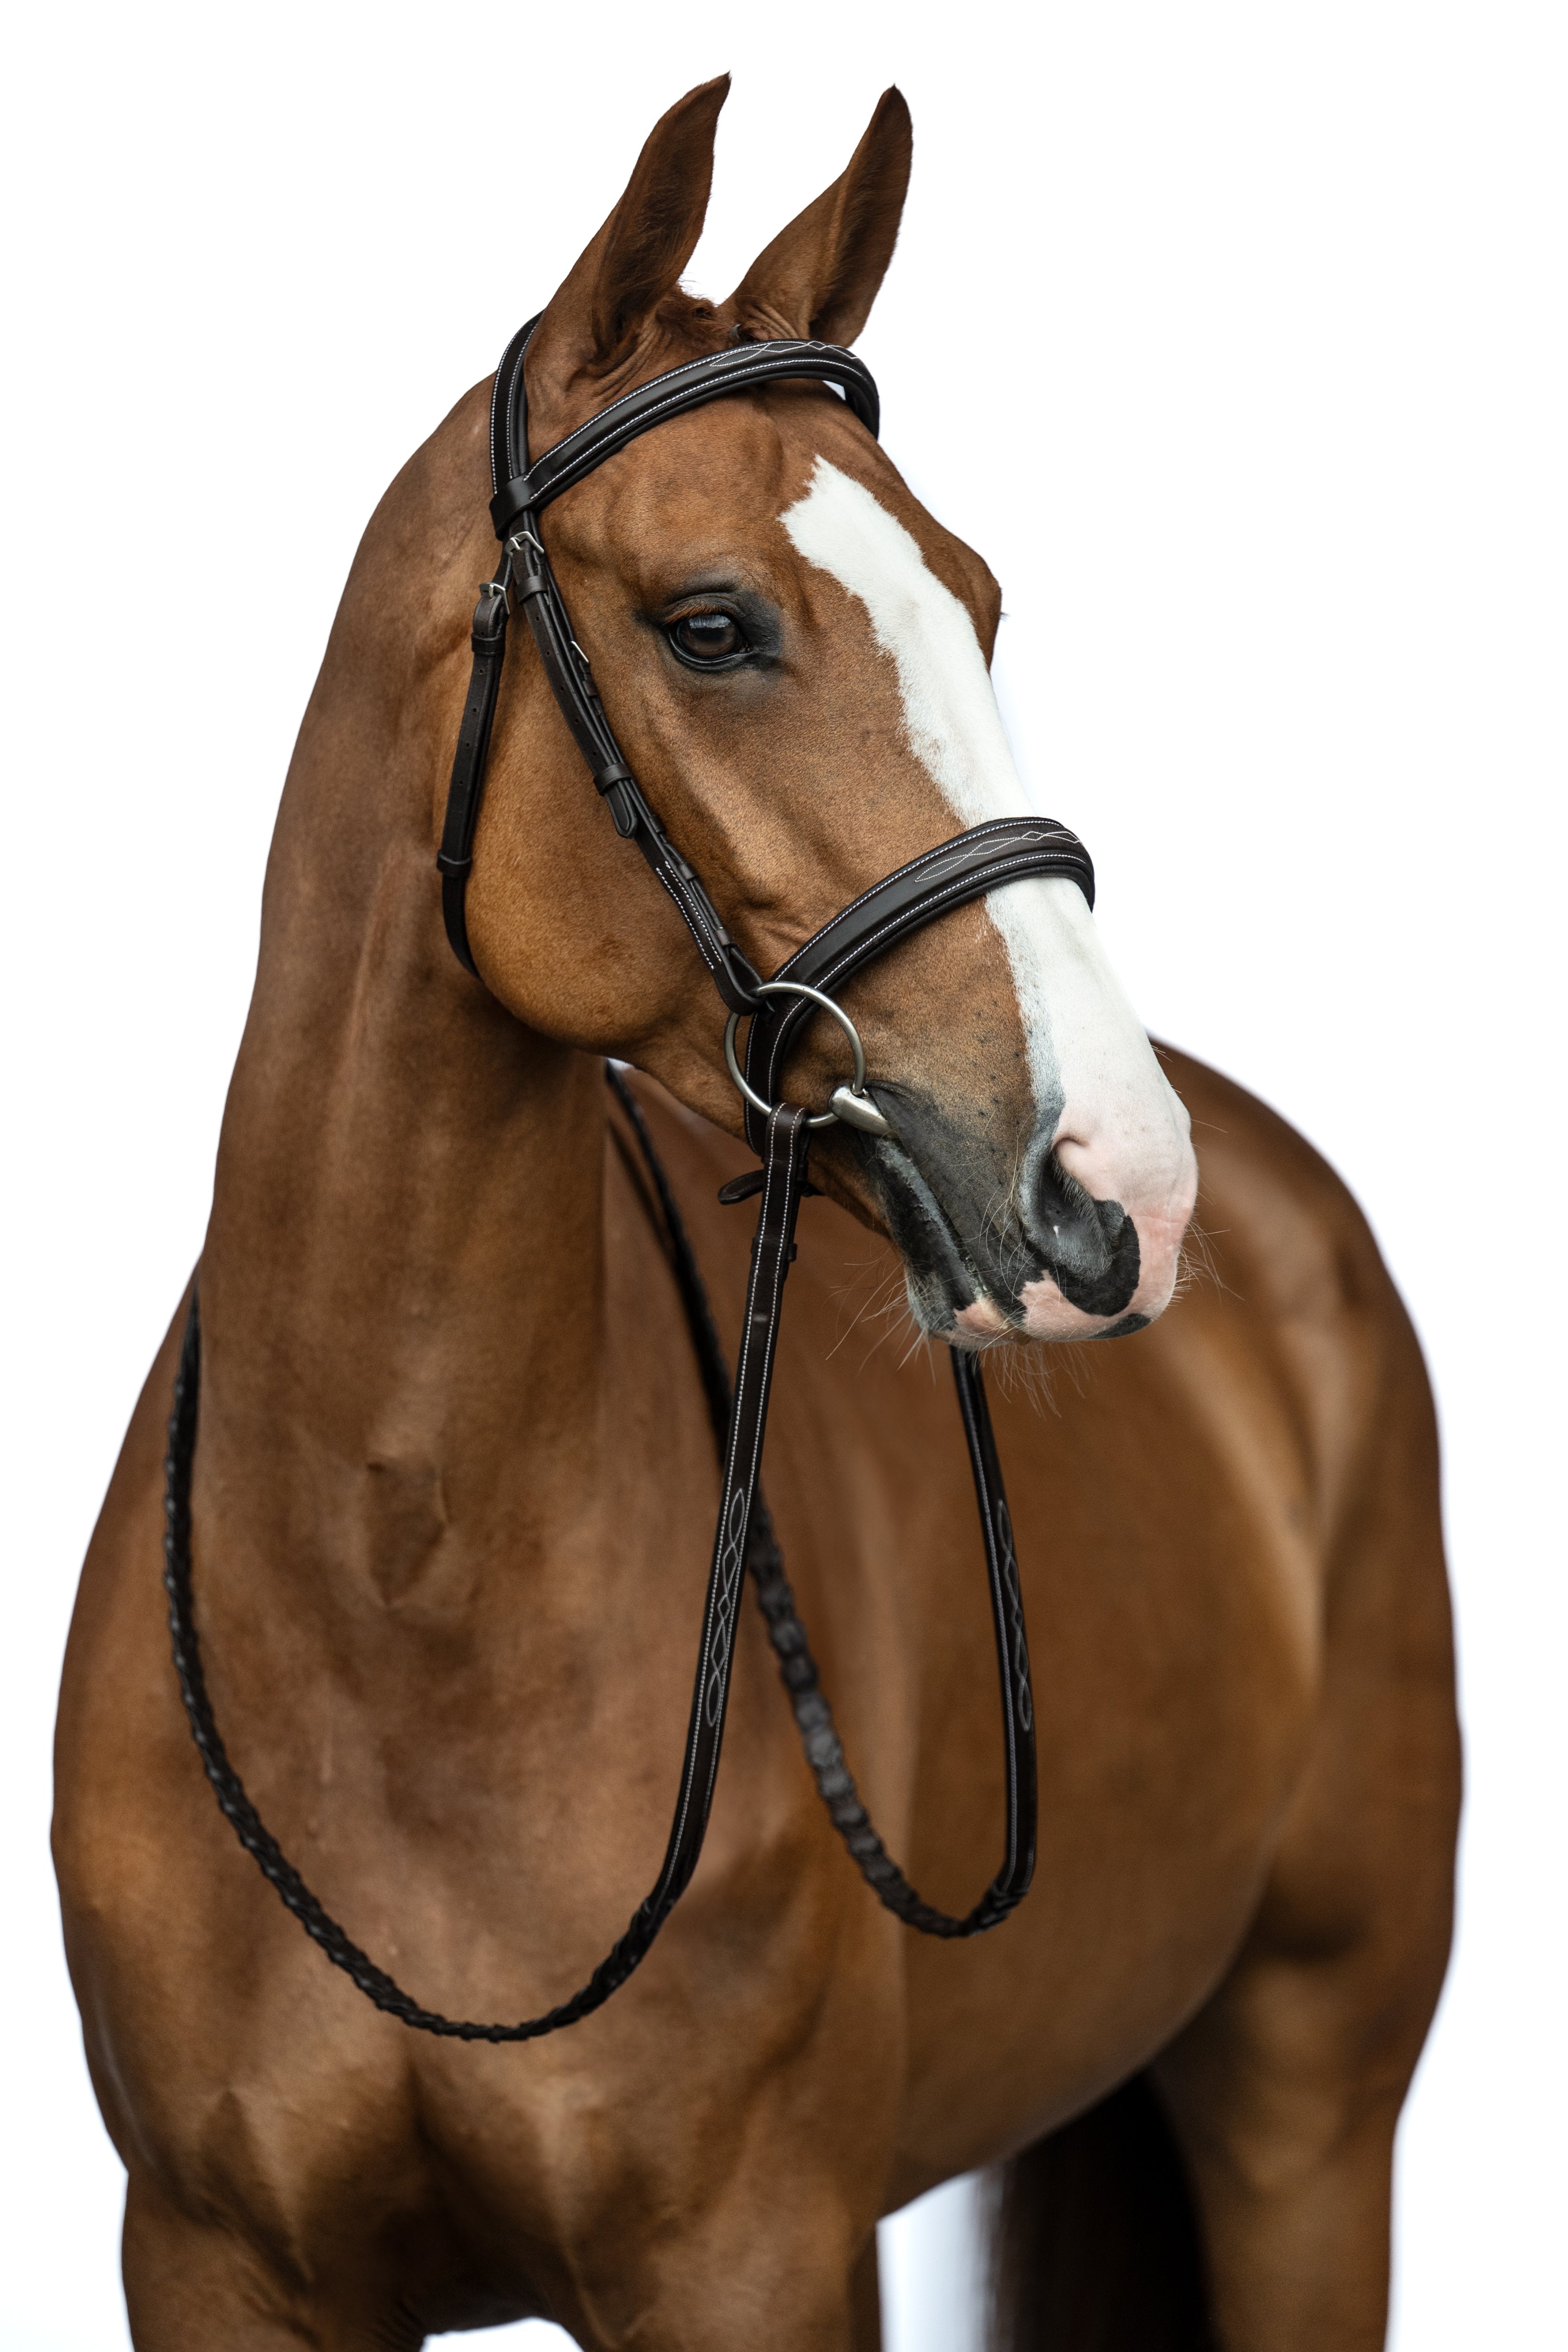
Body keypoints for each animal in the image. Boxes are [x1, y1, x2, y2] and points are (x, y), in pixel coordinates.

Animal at [53, 76, 1459, 2352]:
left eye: (978, 600)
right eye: (710, 623)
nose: (1115, 1186)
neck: (388, 1595)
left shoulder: (755, 2263)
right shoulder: (210, 2266)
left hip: (1305, 2107)